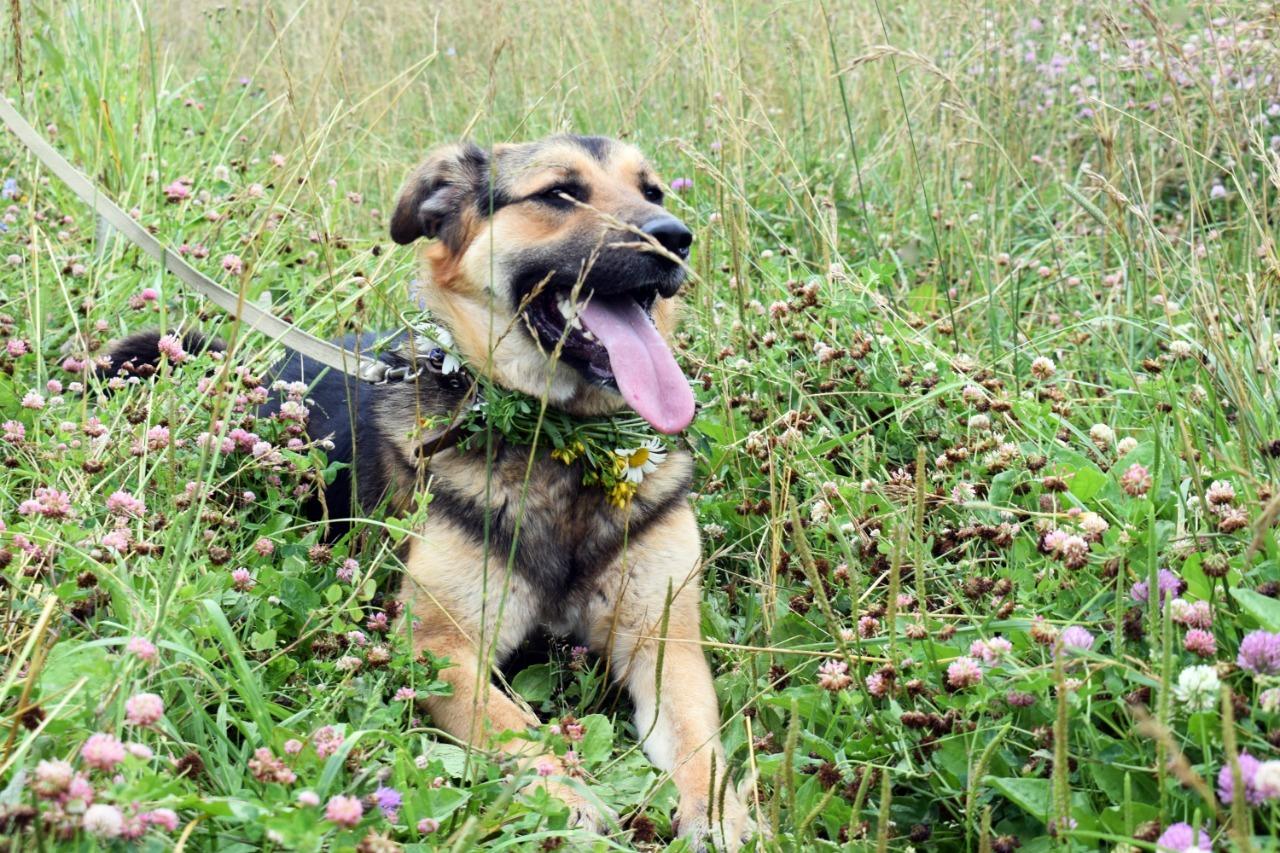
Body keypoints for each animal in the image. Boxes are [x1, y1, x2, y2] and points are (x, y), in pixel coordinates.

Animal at [110, 134, 752, 845]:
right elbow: (514, 728)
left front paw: (720, 813)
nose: (676, 239)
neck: (560, 448)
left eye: (653, 191)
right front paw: (564, 790)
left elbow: (701, 744)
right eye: (560, 192)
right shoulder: (438, 649)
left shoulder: (666, 647)